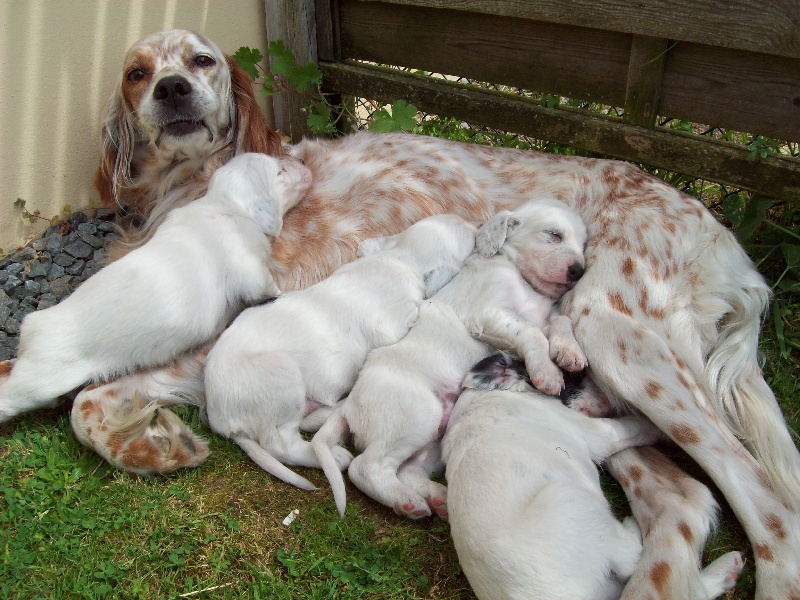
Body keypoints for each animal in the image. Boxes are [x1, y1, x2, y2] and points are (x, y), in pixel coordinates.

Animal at [0, 150, 310, 454]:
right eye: (280, 171)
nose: (303, 161)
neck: (226, 205)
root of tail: (32, 327)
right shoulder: (252, 271)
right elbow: (268, 286)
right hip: (39, 381)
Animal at [203, 213, 476, 490]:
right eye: (462, 230)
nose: (469, 221)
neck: (400, 257)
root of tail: (221, 418)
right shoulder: (392, 322)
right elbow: (417, 309)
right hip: (281, 377)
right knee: (281, 444)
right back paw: (335, 456)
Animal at [312, 199, 588, 516]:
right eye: (553, 235)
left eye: (584, 245)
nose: (580, 271)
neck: (527, 285)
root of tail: (348, 406)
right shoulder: (486, 313)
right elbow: (531, 331)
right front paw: (549, 374)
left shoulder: (544, 316)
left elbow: (561, 321)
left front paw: (569, 353)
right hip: (417, 415)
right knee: (365, 467)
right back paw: (407, 502)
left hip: (436, 435)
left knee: (406, 469)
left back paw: (438, 498)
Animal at [446, 352, 748, 600]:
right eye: (573, 374)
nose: (607, 397)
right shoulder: (599, 434)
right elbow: (633, 427)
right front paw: (656, 427)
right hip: (569, 499)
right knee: (630, 557)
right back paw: (633, 527)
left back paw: (727, 571)